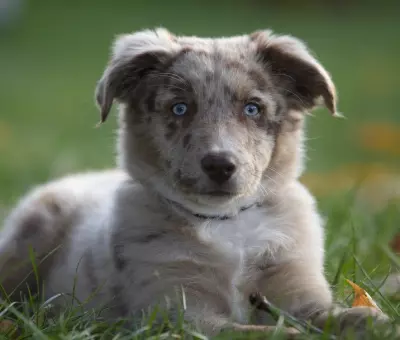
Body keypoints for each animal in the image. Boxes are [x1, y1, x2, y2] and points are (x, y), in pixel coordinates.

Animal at [0, 29, 390, 338]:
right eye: (179, 108)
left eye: (252, 109)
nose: (220, 165)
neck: (227, 222)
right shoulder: (177, 312)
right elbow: (248, 332)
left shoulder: (297, 287)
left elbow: (331, 316)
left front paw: (369, 319)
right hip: (28, 241)